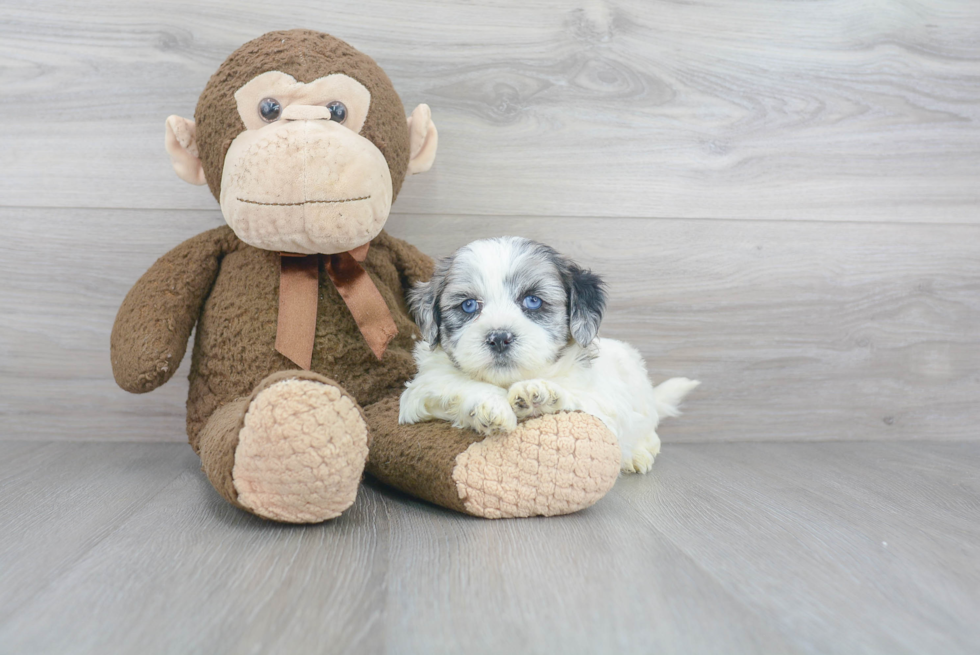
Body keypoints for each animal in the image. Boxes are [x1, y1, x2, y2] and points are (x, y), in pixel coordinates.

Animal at [398, 238, 696, 474]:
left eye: (533, 301)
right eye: (469, 305)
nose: (499, 337)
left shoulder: (602, 408)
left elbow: (578, 401)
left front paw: (537, 393)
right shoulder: (419, 392)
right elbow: (456, 383)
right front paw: (490, 406)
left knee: (648, 431)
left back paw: (637, 454)